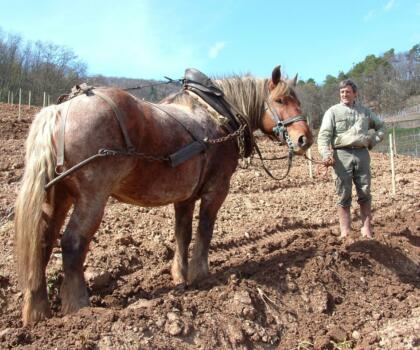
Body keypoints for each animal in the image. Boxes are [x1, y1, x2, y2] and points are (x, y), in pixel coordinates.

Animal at [15, 65, 312, 326]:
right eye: (281, 100)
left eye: (298, 100)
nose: (304, 139)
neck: (218, 116)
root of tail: (60, 110)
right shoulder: (217, 189)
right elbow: (205, 230)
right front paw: (201, 274)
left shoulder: (185, 196)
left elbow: (183, 234)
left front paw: (181, 276)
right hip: (92, 197)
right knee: (72, 243)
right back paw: (79, 308)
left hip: (58, 195)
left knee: (43, 240)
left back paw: (37, 309)